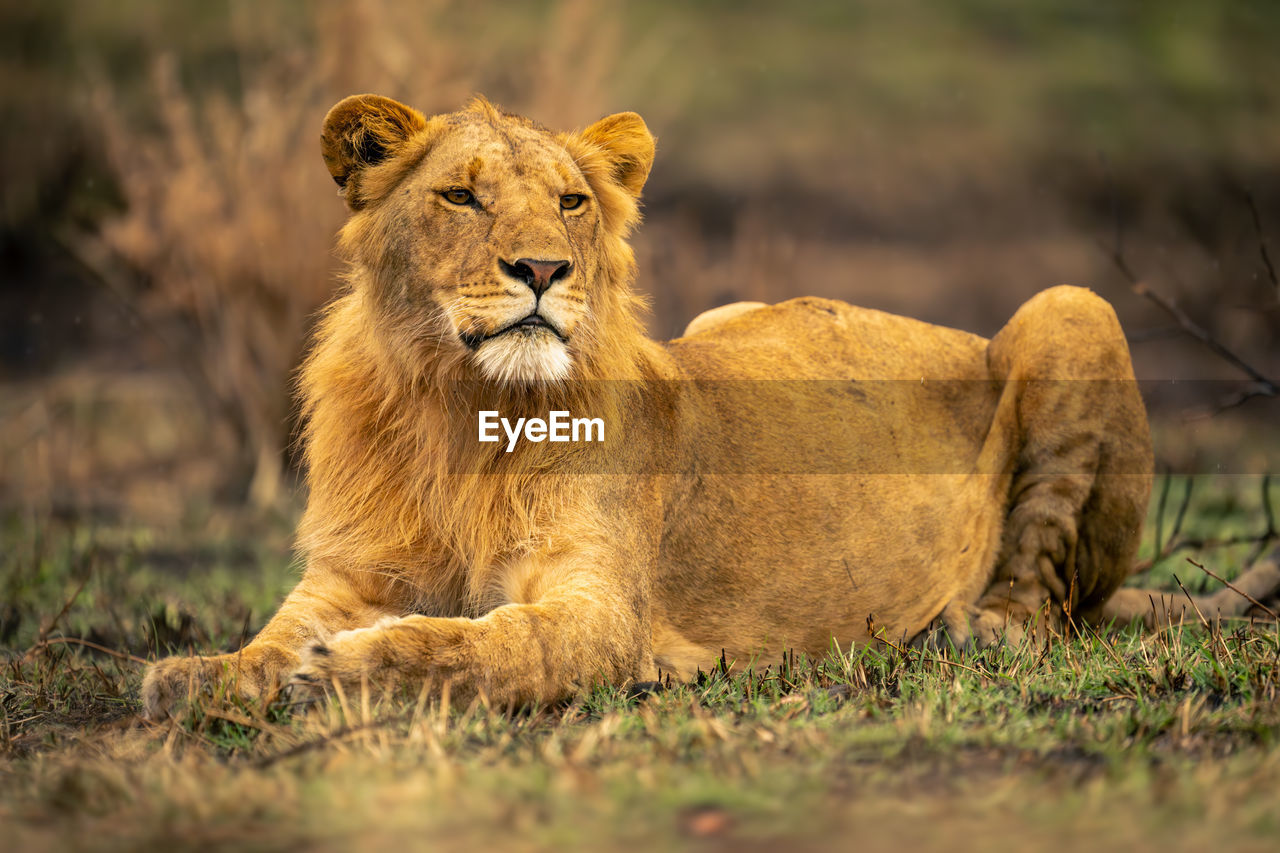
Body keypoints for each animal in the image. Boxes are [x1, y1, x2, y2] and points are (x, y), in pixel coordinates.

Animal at [140, 96, 1280, 712]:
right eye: (459, 196)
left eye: (571, 201)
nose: (543, 269)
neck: (454, 409)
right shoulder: (349, 573)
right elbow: (268, 640)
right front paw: (198, 674)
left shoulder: (604, 614)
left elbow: (486, 645)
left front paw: (350, 671)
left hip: (1071, 304)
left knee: (1046, 600)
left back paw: (970, 631)